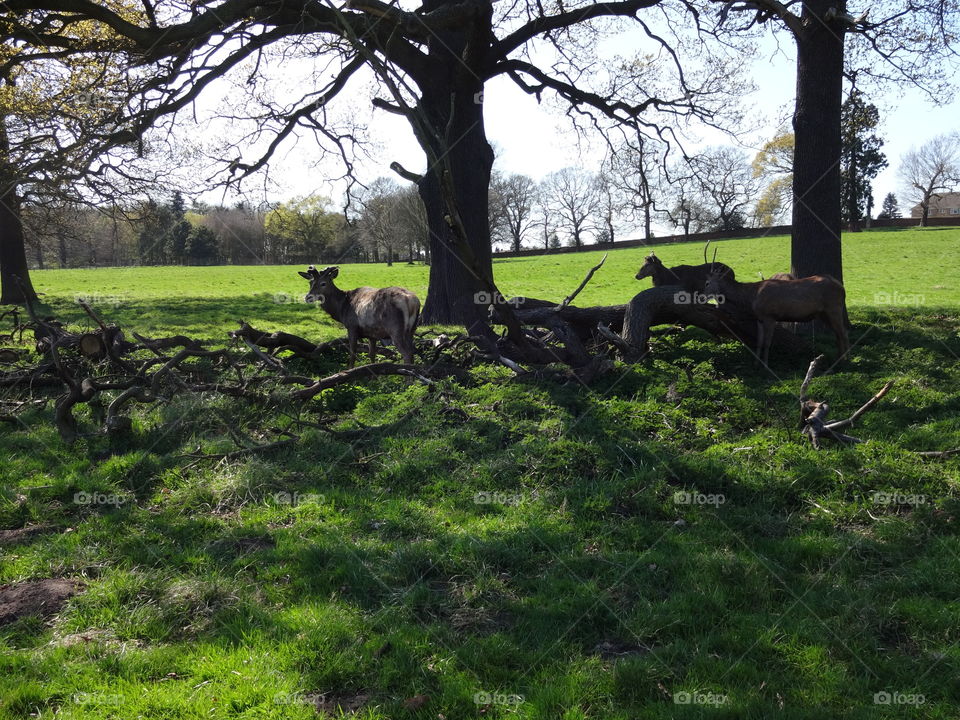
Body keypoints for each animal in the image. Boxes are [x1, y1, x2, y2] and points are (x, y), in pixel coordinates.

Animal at [700, 266, 852, 368]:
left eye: (707, 283)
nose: (701, 297)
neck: (751, 297)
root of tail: (842, 287)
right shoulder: (759, 318)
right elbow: (759, 340)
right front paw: (756, 363)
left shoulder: (770, 316)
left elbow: (768, 342)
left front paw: (766, 365)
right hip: (824, 313)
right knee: (838, 334)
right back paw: (838, 360)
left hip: (834, 308)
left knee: (844, 333)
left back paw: (847, 361)